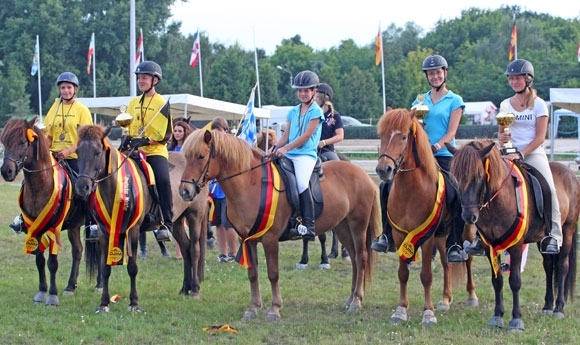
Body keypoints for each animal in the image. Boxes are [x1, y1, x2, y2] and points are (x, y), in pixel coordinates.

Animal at [0, 116, 88, 304]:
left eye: (22, 142)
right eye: (4, 142)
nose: (6, 171)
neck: (40, 186)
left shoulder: (54, 228)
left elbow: (52, 263)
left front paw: (52, 296)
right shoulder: (34, 227)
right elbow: (39, 260)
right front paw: (41, 292)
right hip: (75, 225)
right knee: (77, 250)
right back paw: (70, 287)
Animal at [73, 124, 207, 312]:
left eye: (98, 152)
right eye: (78, 151)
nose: (82, 187)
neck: (116, 187)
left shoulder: (134, 231)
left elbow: (132, 267)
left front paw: (134, 303)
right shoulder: (104, 232)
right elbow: (105, 268)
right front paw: (104, 304)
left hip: (195, 216)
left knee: (194, 249)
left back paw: (194, 290)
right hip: (177, 222)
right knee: (186, 249)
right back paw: (184, 289)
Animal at [180, 128, 380, 320]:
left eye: (201, 156)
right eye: (186, 157)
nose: (184, 191)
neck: (252, 183)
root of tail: (362, 174)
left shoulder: (270, 239)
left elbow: (273, 274)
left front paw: (274, 309)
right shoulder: (247, 239)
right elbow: (253, 274)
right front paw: (253, 309)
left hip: (358, 224)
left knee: (361, 257)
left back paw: (357, 301)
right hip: (343, 227)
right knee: (353, 258)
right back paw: (350, 299)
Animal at [374, 108, 478, 326]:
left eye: (404, 137)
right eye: (382, 135)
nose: (383, 169)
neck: (410, 192)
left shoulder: (427, 237)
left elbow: (426, 275)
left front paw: (428, 313)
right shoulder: (400, 235)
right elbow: (403, 273)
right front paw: (400, 310)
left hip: (465, 232)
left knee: (468, 258)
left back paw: (472, 297)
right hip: (442, 236)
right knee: (447, 262)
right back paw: (445, 300)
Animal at [450, 140, 576, 330]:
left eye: (478, 177)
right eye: (456, 179)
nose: (468, 216)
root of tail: (570, 173)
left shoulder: (516, 246)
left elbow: (515, 281)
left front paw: (516, 320)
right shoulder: (489, 245)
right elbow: (497, 281)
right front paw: (497, 316)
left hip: (567, 231)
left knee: (562, 267)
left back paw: (558, 309)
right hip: (542, 240)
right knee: (548, 267)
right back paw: (547, 307)